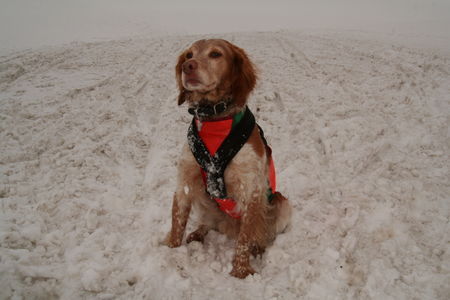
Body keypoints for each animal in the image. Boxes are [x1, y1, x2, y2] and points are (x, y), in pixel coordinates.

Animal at [164, 38, 292, 278]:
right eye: (189, 55)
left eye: (216, 54)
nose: (188, 66)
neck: (214, 119)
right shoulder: (185, 182)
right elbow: (177, 222)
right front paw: (170, 251)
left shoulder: (251, 189)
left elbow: (245, 238)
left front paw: (240, 271)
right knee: (209, 223)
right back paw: (198, 233)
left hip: (282, 203)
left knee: (260, 233)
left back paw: (258, 248)